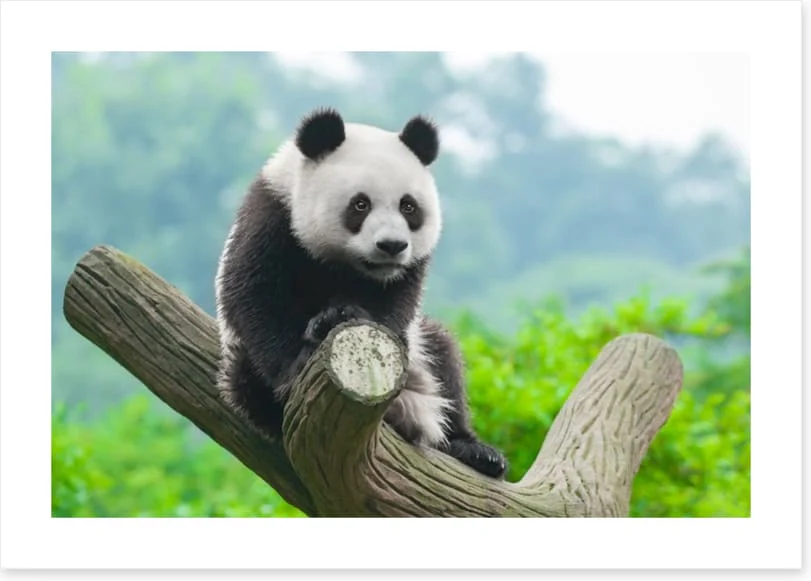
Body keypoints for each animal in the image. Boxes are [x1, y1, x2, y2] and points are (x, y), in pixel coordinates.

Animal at [214, 107, 508, 479]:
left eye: (408, 207)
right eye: (360, 205)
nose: (391, 246)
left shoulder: (406, 272)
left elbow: (394, 305)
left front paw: (340, 314)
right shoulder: (272, 217)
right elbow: (255, 296)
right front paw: (301, 358)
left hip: (421, 359)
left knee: (445, 359)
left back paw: (475, 451)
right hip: (240, 363)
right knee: (245, 381)